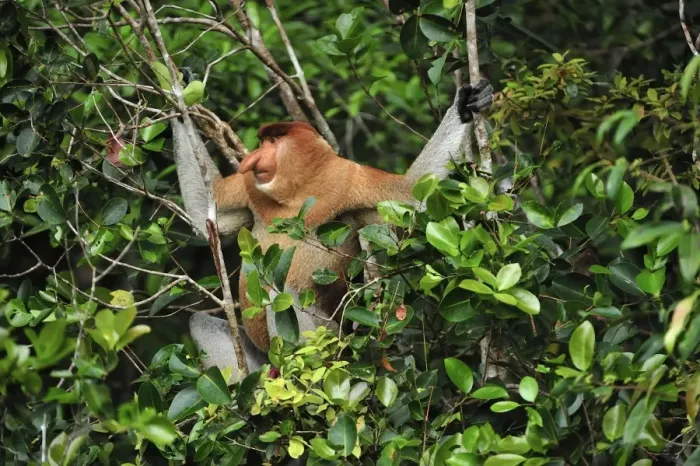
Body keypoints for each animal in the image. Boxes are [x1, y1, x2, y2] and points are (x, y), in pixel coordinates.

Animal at [173, 80, 493, 381]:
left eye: (273, 141)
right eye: (262, 142)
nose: (252, 159)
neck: (297, 192)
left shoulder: (349, 178)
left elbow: (411, 196)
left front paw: (466, 105)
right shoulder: (251, 187)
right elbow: (209, 218)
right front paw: (179, 98)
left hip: (328, 336)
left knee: (284, 293)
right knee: (199, 322)